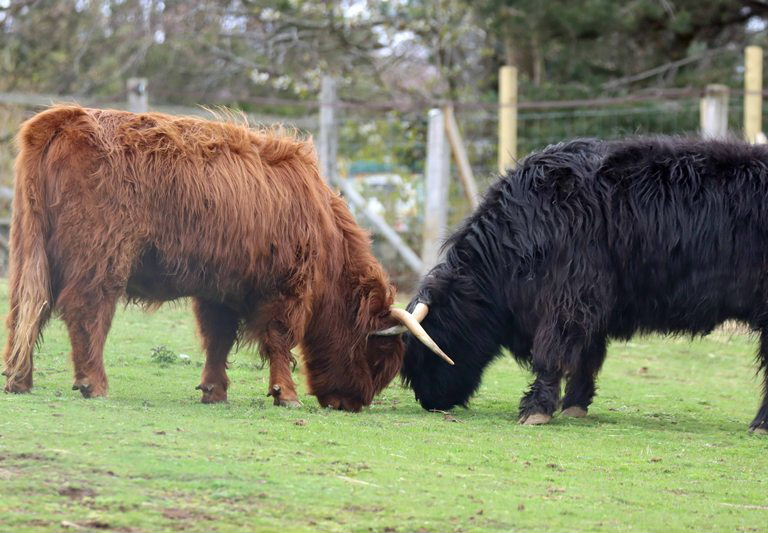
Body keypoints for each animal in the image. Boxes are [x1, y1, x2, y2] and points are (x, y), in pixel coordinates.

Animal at [3, 105, 451, 410]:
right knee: (85, 311)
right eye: (377, 360)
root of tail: (65, 117)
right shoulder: (285, 287)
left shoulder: (218, 289)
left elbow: (217, 338)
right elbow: (278, 338)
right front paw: (286, 394)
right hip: (101, 257)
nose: (350, 404)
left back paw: (19, 379)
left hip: (30, 252)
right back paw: (93, 383)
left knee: (28, 308)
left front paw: (213, 391)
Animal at [399, 136, 768, 433]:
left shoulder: (568, 299)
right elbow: (587, 356)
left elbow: (553, 352)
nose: (429, 401)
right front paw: (575, 405)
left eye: (425, 351)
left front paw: (536, 410)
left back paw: (760, 425)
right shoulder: (592, 305)